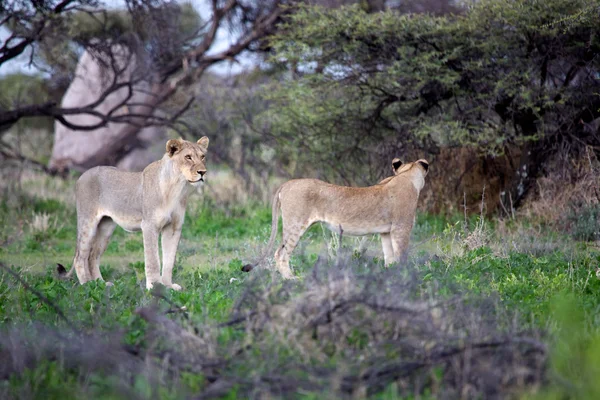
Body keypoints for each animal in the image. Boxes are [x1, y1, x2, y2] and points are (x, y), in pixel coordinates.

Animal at [56, 136, 211, 290]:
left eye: (203, 157)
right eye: (188, 157)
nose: (203, 172)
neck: (177, 186)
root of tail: (82, 176)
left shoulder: (173, 227)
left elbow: (169, 260)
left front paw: (168, 286)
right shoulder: (149, 225)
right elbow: (153, 259)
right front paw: (155, 286)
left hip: (106, 227)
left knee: (92, 256)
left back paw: (100, 284)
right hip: (87, 222)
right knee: (80, 257)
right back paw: (87, 285)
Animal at [241, 157, 428, 278]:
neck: (406, 176)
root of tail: (287, 183)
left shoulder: (386, 232)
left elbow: (389, 258)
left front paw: (390, 277)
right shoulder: (401, 227)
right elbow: (401, 255)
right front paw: (404, 277)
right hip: (295, 224)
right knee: (280, 254)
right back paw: (292, 280)